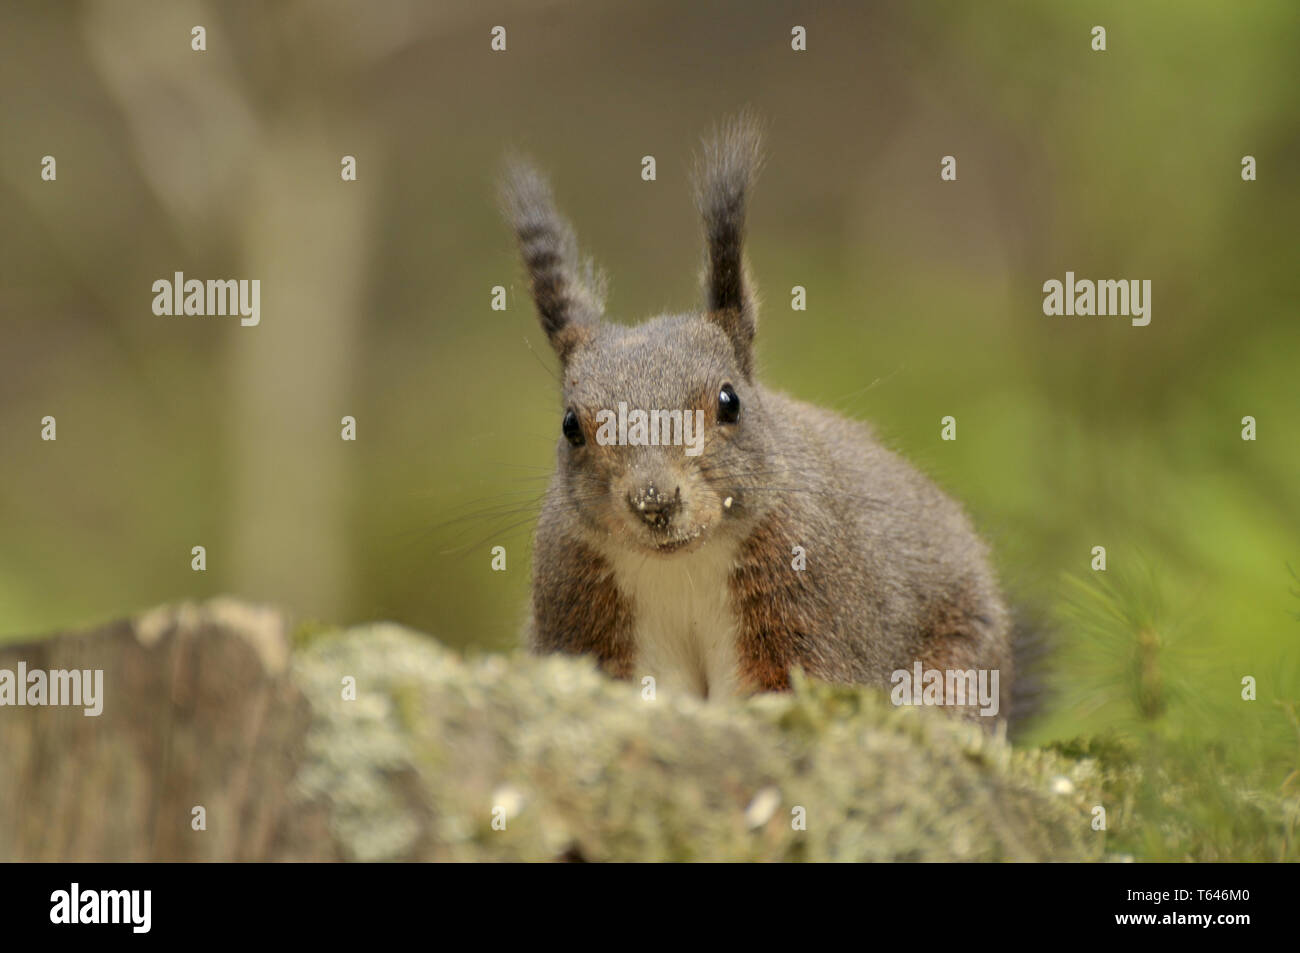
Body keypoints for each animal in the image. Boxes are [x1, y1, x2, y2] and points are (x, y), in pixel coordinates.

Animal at [501, 115, 1019, 722]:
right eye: (571, 427)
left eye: (730, 402)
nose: (654, 502)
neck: (683, 562)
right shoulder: (586, 613)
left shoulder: (809, 597)